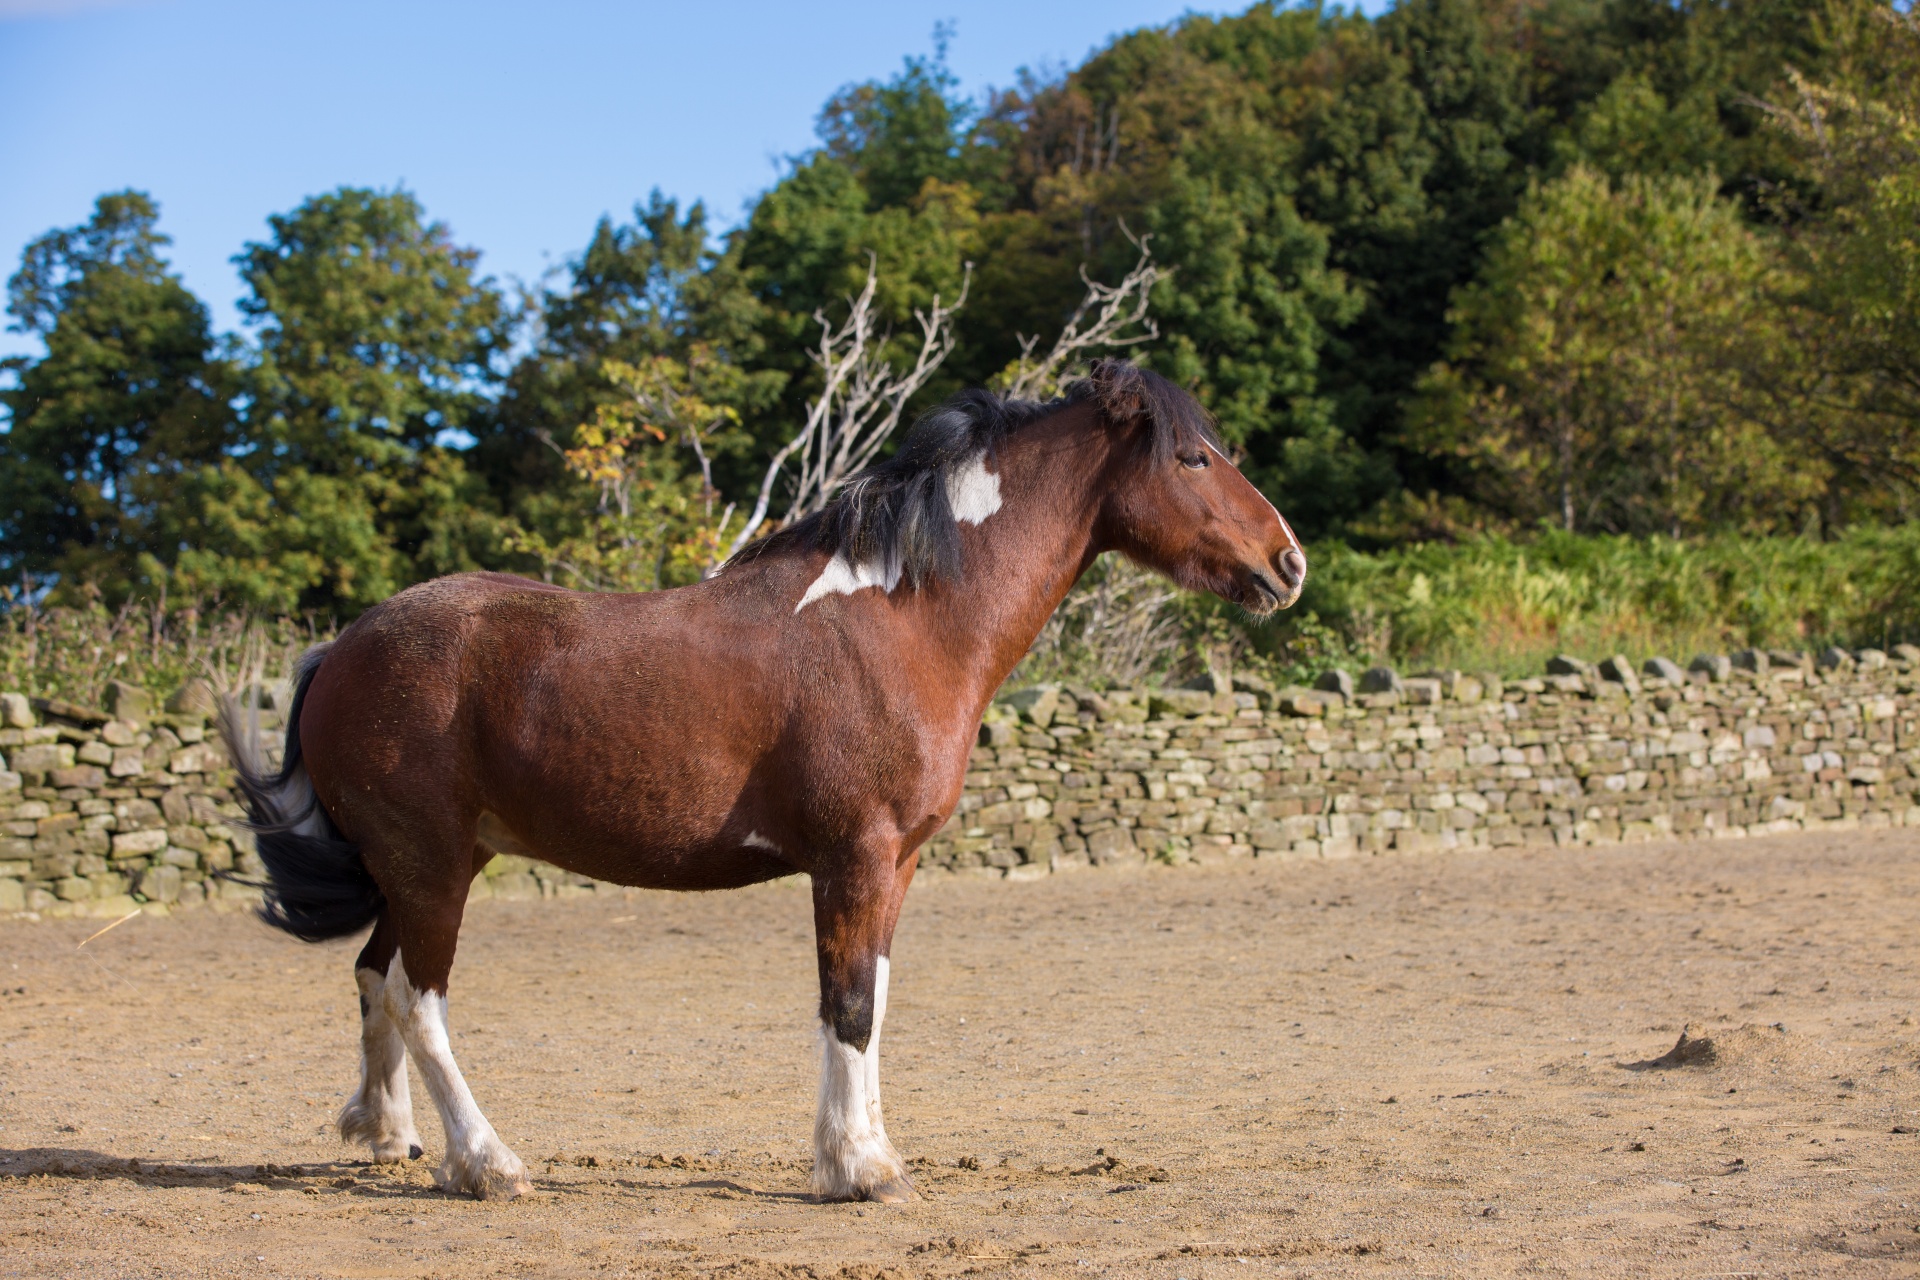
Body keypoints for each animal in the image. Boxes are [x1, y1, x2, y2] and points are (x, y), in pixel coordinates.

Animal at [220, 358, 1305, 1205]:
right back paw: (488, 1162)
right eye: (1194, 458)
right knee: (418, 998)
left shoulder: (894, 866)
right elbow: (848, 1005)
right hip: (433, 867)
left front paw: (865, 1150)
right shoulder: (854, 858)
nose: (1287, 562)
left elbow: (871, 998)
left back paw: (389, 1135)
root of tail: (342, 650)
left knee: (373, 976)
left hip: (423, 868)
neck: (903, 617)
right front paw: (861, 1168)